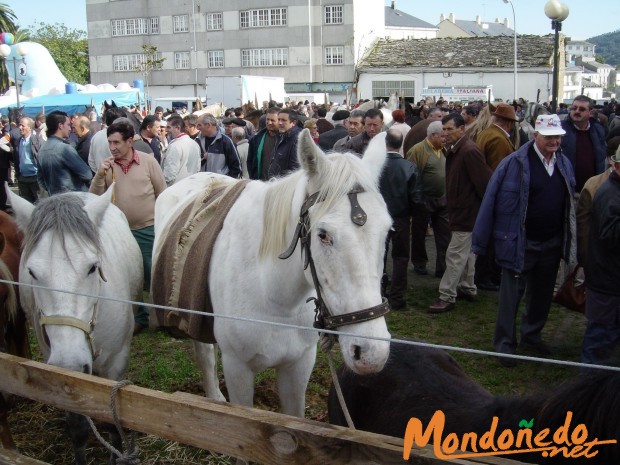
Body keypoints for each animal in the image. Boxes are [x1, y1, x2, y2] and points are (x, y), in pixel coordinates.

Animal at [11, 187, 143, 464]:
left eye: (93, 267)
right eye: (32, 272)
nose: (69, 364)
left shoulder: (116, 363)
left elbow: (112, 421)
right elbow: (77, 427)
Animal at [152, 129, 390, 418]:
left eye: (388, 230)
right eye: (323, 235)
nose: (371, 352)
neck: (275, 298)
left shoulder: (299, 366)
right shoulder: (238, 368)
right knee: (205, 353)